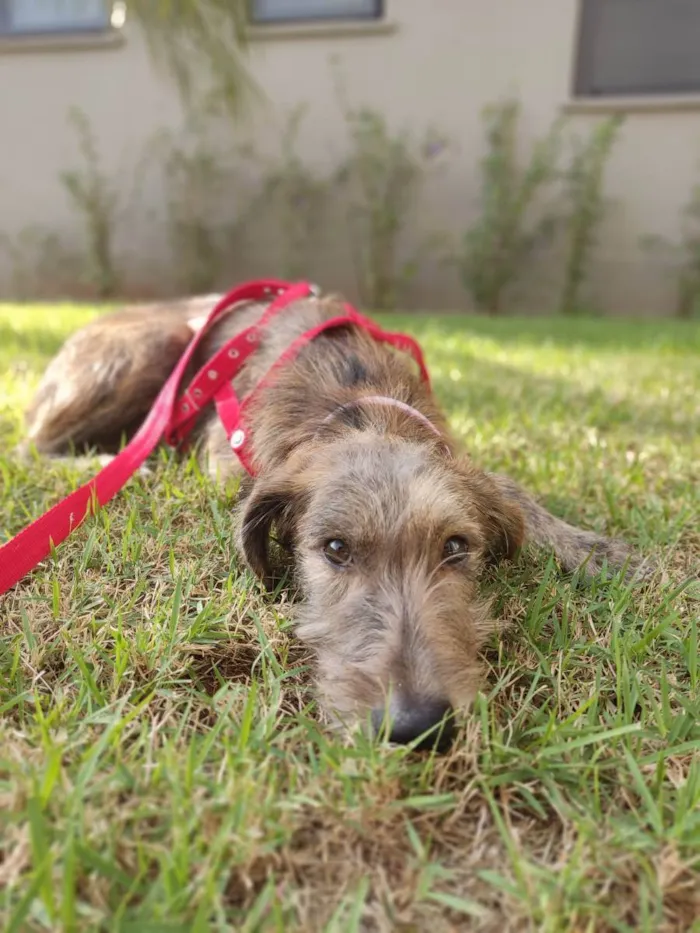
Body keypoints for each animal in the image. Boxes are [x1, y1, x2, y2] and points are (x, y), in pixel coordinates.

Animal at [23, 290, 656, 748]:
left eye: (456, 547)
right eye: (334, 549)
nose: (416, 727)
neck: (360, 405)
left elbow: (510, 488)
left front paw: (596, 550)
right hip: (149, 350)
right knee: (34, 445)